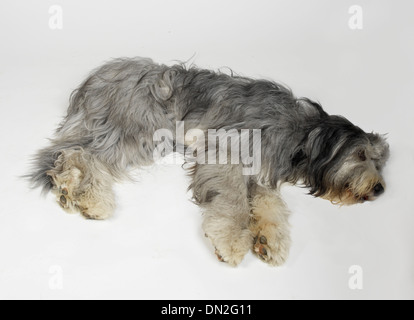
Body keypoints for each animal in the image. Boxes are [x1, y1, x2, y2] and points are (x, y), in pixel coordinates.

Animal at [27, 57, 390, 264]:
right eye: (360, 155)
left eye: (380, 161)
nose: (381, 189)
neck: (299, 134)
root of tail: (94, 79)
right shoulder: (226, 151)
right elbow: (234, 202)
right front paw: (232, 241)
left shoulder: (261, 173)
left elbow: (269, 206)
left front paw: (269, 241)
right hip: (135, 130)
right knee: (73, 153)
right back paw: (88, 197)